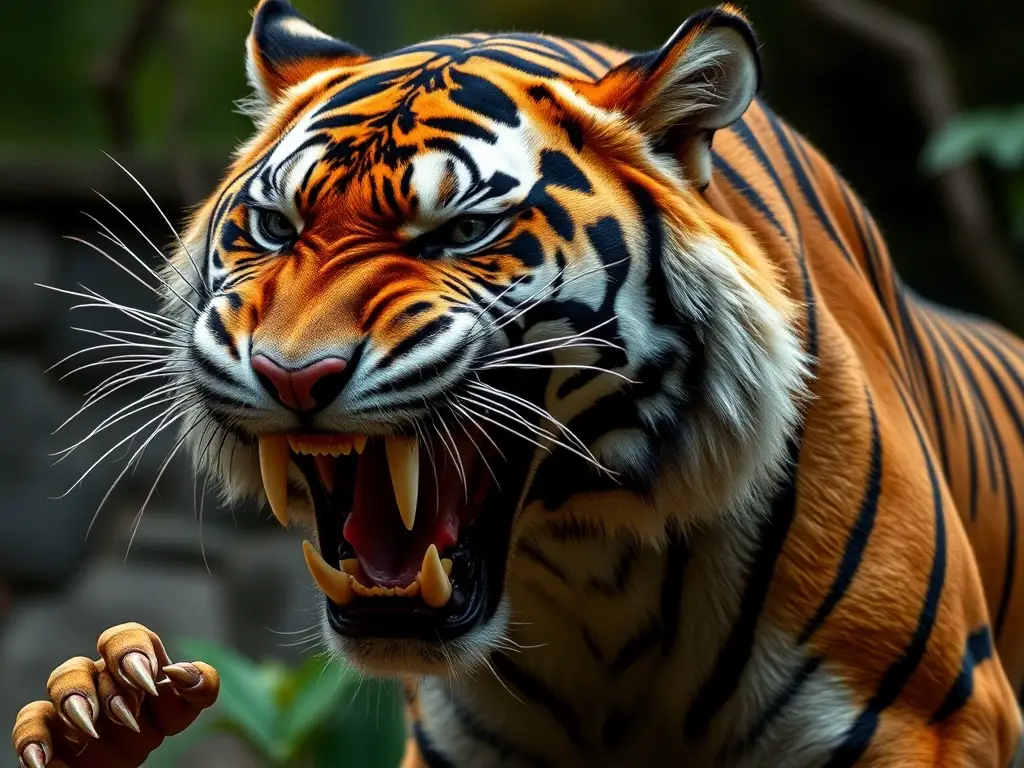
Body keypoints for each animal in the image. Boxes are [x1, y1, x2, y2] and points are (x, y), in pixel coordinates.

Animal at [12, 0, 1024, 765]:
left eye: (460, 235)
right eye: (274, 227)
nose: (292, 375)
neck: (599, 577)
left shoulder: (922, 721)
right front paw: (105, 711)